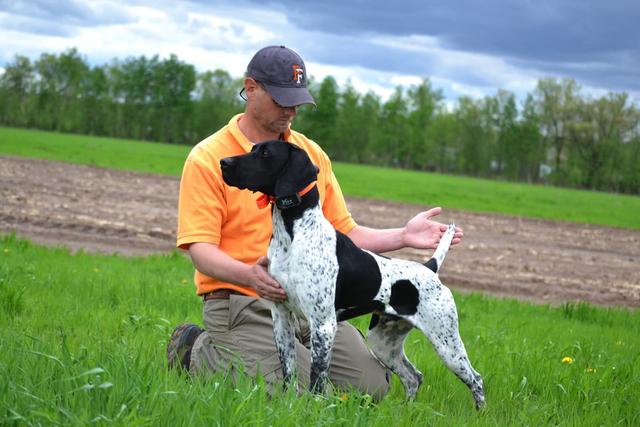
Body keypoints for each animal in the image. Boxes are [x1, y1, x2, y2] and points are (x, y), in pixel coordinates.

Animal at [220, 141, 484, 412]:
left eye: (265, 153)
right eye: (253, 148)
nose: (223, 163)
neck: (293, 236)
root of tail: (429, 267)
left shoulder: (323, 325)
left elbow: (317, 379)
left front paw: (313, 410)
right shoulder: (281, 317)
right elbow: (289, 374)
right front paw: (289, 407)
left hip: (446, 342)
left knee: (476, 379)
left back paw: (479, 414)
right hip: (382, 342)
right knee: (414, 377)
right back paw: (407, 410)